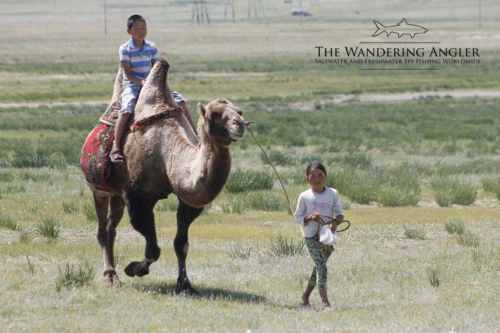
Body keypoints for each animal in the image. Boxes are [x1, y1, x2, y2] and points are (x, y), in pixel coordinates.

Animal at [83, 58, 246, 292]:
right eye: (214, 115)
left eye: (240, 111)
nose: (239, 125)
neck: (167, 152)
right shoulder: (137, 196)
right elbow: (153, 249)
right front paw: (134, 269)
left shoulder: (187, 199)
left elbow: (181, 244)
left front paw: (185, 285)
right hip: (97, 189)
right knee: (102, 230)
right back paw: (110, 277)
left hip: (116, 194)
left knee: (112, 228)